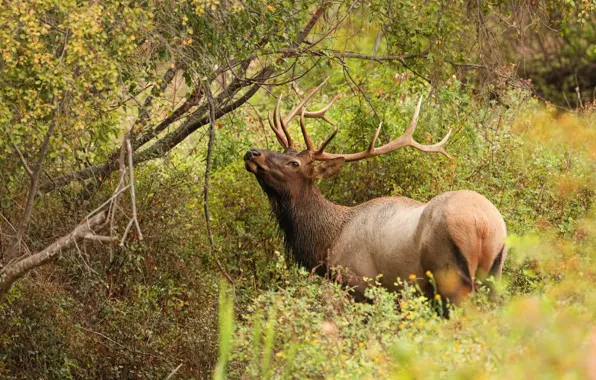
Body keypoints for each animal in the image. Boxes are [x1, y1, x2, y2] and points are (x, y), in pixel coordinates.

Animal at [243, 81, 508, 308]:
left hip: (450, 273)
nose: (252, 152)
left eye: (294, 163)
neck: (328, 243)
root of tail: (484, 224)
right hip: (494, 274)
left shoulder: (359, 284)